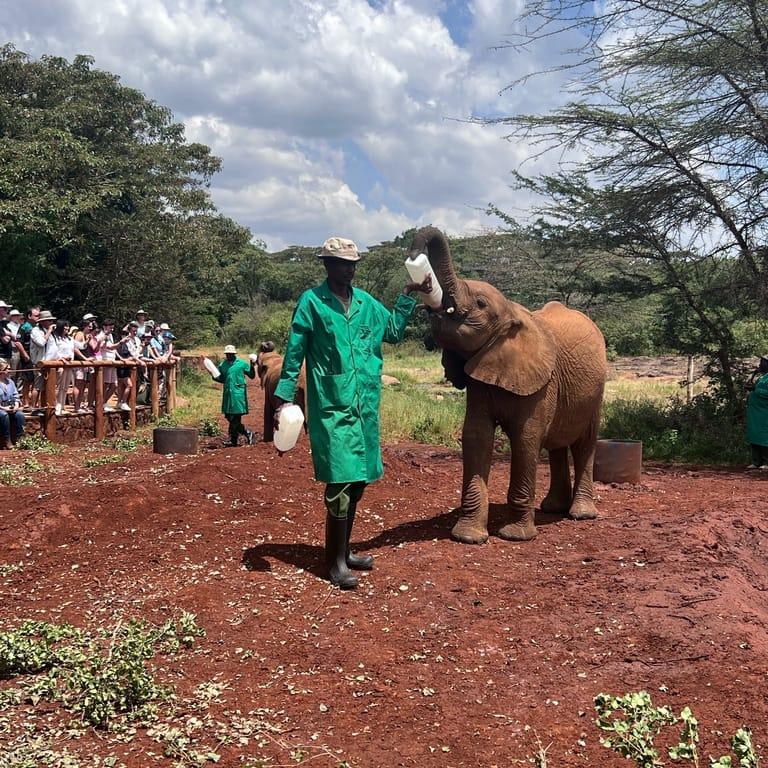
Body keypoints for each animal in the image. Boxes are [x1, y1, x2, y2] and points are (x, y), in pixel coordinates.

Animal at [408, 226, 607, 544]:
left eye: (480, 304)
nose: (414, 255)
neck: (514, 312)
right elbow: (476, 435)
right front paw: (468, 538)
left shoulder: (543, 383)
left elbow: (526, 439)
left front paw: (515, 536)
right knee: (556, 444)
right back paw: (552, 509)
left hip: (596, 390)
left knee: (583, 443)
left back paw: (581, 515)